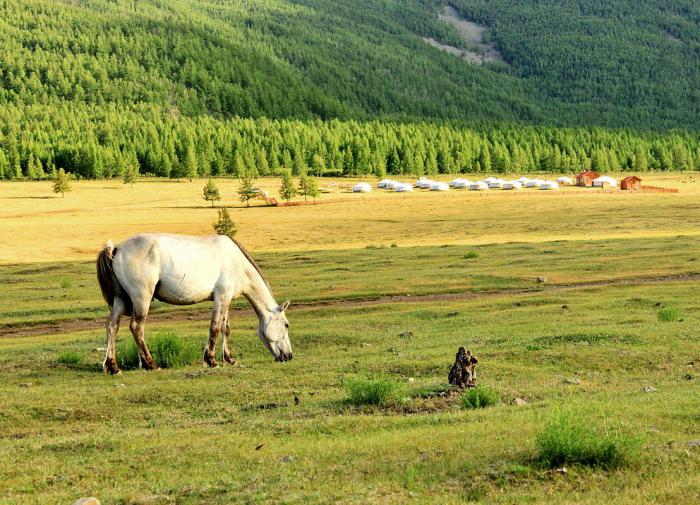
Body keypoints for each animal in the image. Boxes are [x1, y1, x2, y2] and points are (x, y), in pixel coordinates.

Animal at [95, 233, 290, 374]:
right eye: (286, 325)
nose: (288, 356)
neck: (238, 264)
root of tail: (116, 249)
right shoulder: (221, 297)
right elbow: (215, 328)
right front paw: (211, 360)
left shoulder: (226, 299)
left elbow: (225, 329)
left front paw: (229, 359)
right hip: (141, 298)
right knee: (136, 327)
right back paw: (151, 364)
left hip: (120, 300)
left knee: (112, 326)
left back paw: (113, 367)